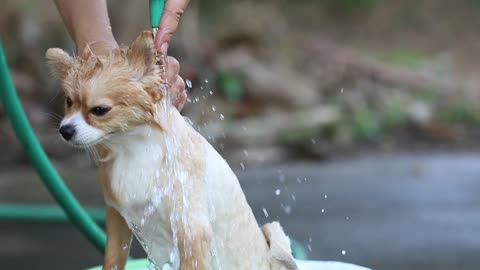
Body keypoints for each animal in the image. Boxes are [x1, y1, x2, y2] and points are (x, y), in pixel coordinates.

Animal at [47, 31, 298, 270]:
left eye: (99, 110)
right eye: (68, 102)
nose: (65, 130)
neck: (133, 149)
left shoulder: (191, 229)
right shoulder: (117, 217)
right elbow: (113, 259)